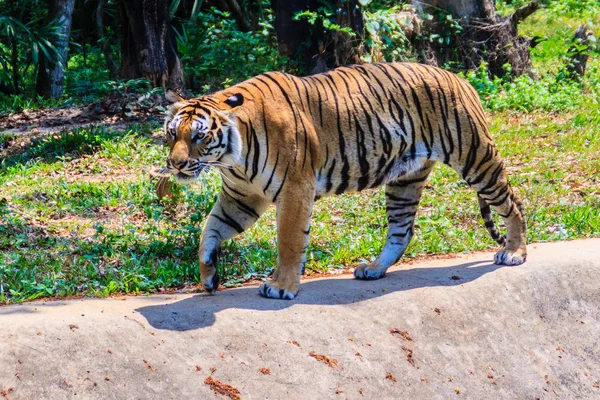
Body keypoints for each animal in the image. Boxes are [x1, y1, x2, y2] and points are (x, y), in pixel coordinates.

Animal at [162, 61, 528, 300]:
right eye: (172, 134)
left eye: (199, 136)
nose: (176, 164)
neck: (230, 159)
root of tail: (460, 78)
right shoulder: (241, 197)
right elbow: (209, 230)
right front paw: (208, 276)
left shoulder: (295, 189)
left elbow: (289, 240)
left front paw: (281, 286)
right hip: (405, 181)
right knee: (401, 231)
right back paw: (374, 269)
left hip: (475, 158)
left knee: (513, 204)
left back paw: (514, 252)